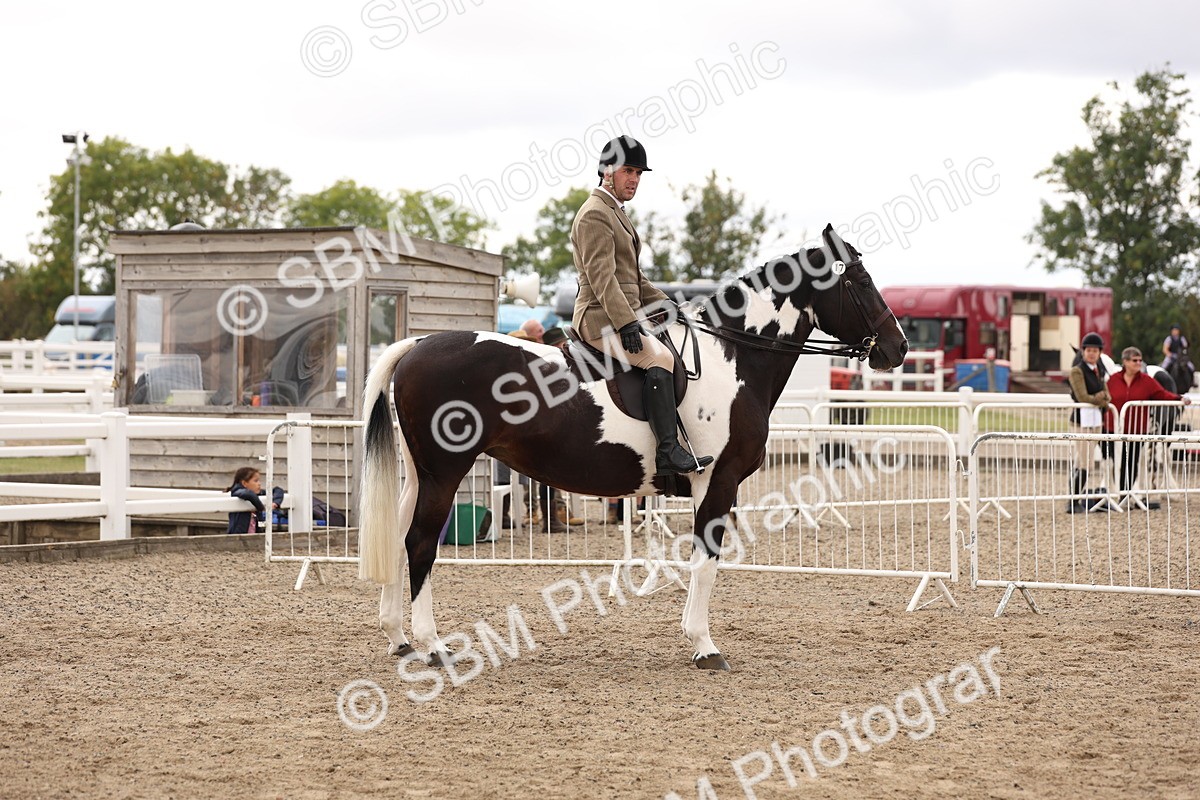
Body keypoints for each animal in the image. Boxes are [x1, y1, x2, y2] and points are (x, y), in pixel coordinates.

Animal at [357, 224, 908, 671]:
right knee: (420, 543)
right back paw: (432, 646)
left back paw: (399, 639)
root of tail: (418, 344)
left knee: (398, 536)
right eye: (861, 282)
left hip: (419, 475)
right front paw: (703, 645)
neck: (733, 356)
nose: (898, 347)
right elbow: (705, 561)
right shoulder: (718, 480)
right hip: (445, 472)